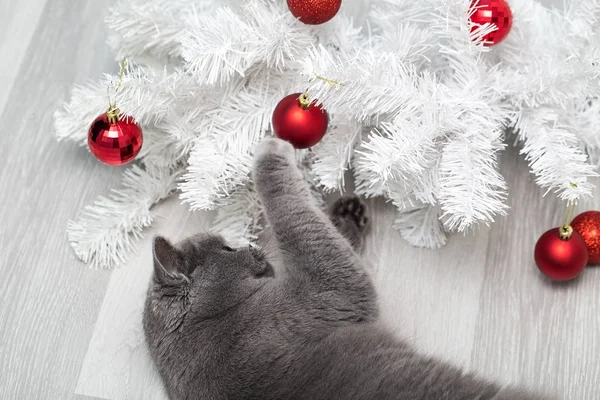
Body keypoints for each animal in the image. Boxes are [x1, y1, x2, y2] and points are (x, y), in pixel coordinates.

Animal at [143, 138, 548, 400]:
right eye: (228, 248)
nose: (253, 247)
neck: (214, 322)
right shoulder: (326, 292)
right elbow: (300, 220)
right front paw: (271, 147)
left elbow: (322, 229)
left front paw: (347, 213)